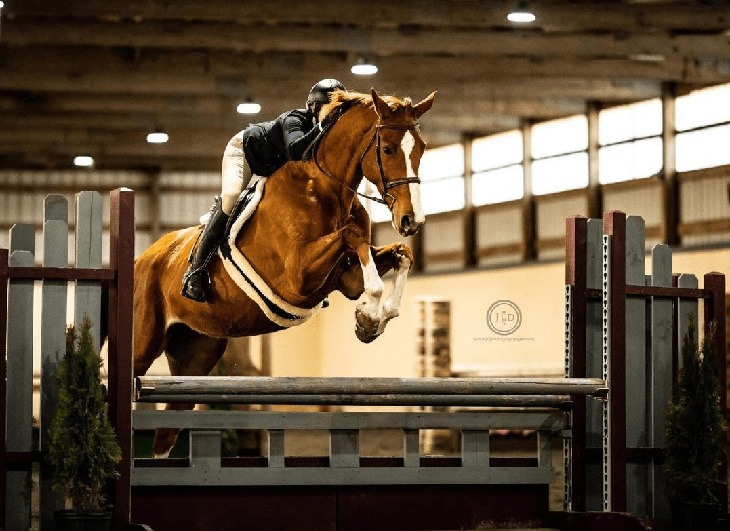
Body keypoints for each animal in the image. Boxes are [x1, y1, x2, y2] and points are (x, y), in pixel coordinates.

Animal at [132, 88, 432, 458]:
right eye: (388, 149)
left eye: (420, 149)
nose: (411, 220)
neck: (326, 189)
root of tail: (145, 257)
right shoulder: (297, 278)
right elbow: (354, 237)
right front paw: (368, 315)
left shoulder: (344, 277)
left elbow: (398, 255)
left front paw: (372, 318)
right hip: (143, 343)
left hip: (194, 355)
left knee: (166, 431)